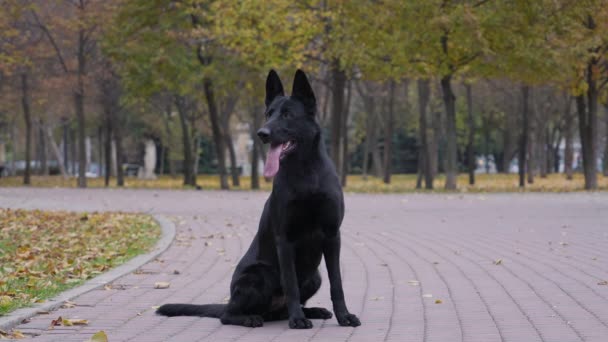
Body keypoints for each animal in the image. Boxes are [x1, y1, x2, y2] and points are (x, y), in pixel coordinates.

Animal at [157, 69, 360, 328]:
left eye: (287, 114)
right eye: (268, 114)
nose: (262, 134)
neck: (306, 172)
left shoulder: (333, 236)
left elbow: (337, 283)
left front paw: (344, 316)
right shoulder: (285, 239)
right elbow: (291, 284)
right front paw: (298, 319)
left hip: (315, 276)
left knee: (279, 311)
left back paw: (312, 311)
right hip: (259, 274)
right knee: (227, 315)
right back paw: (253, 317)